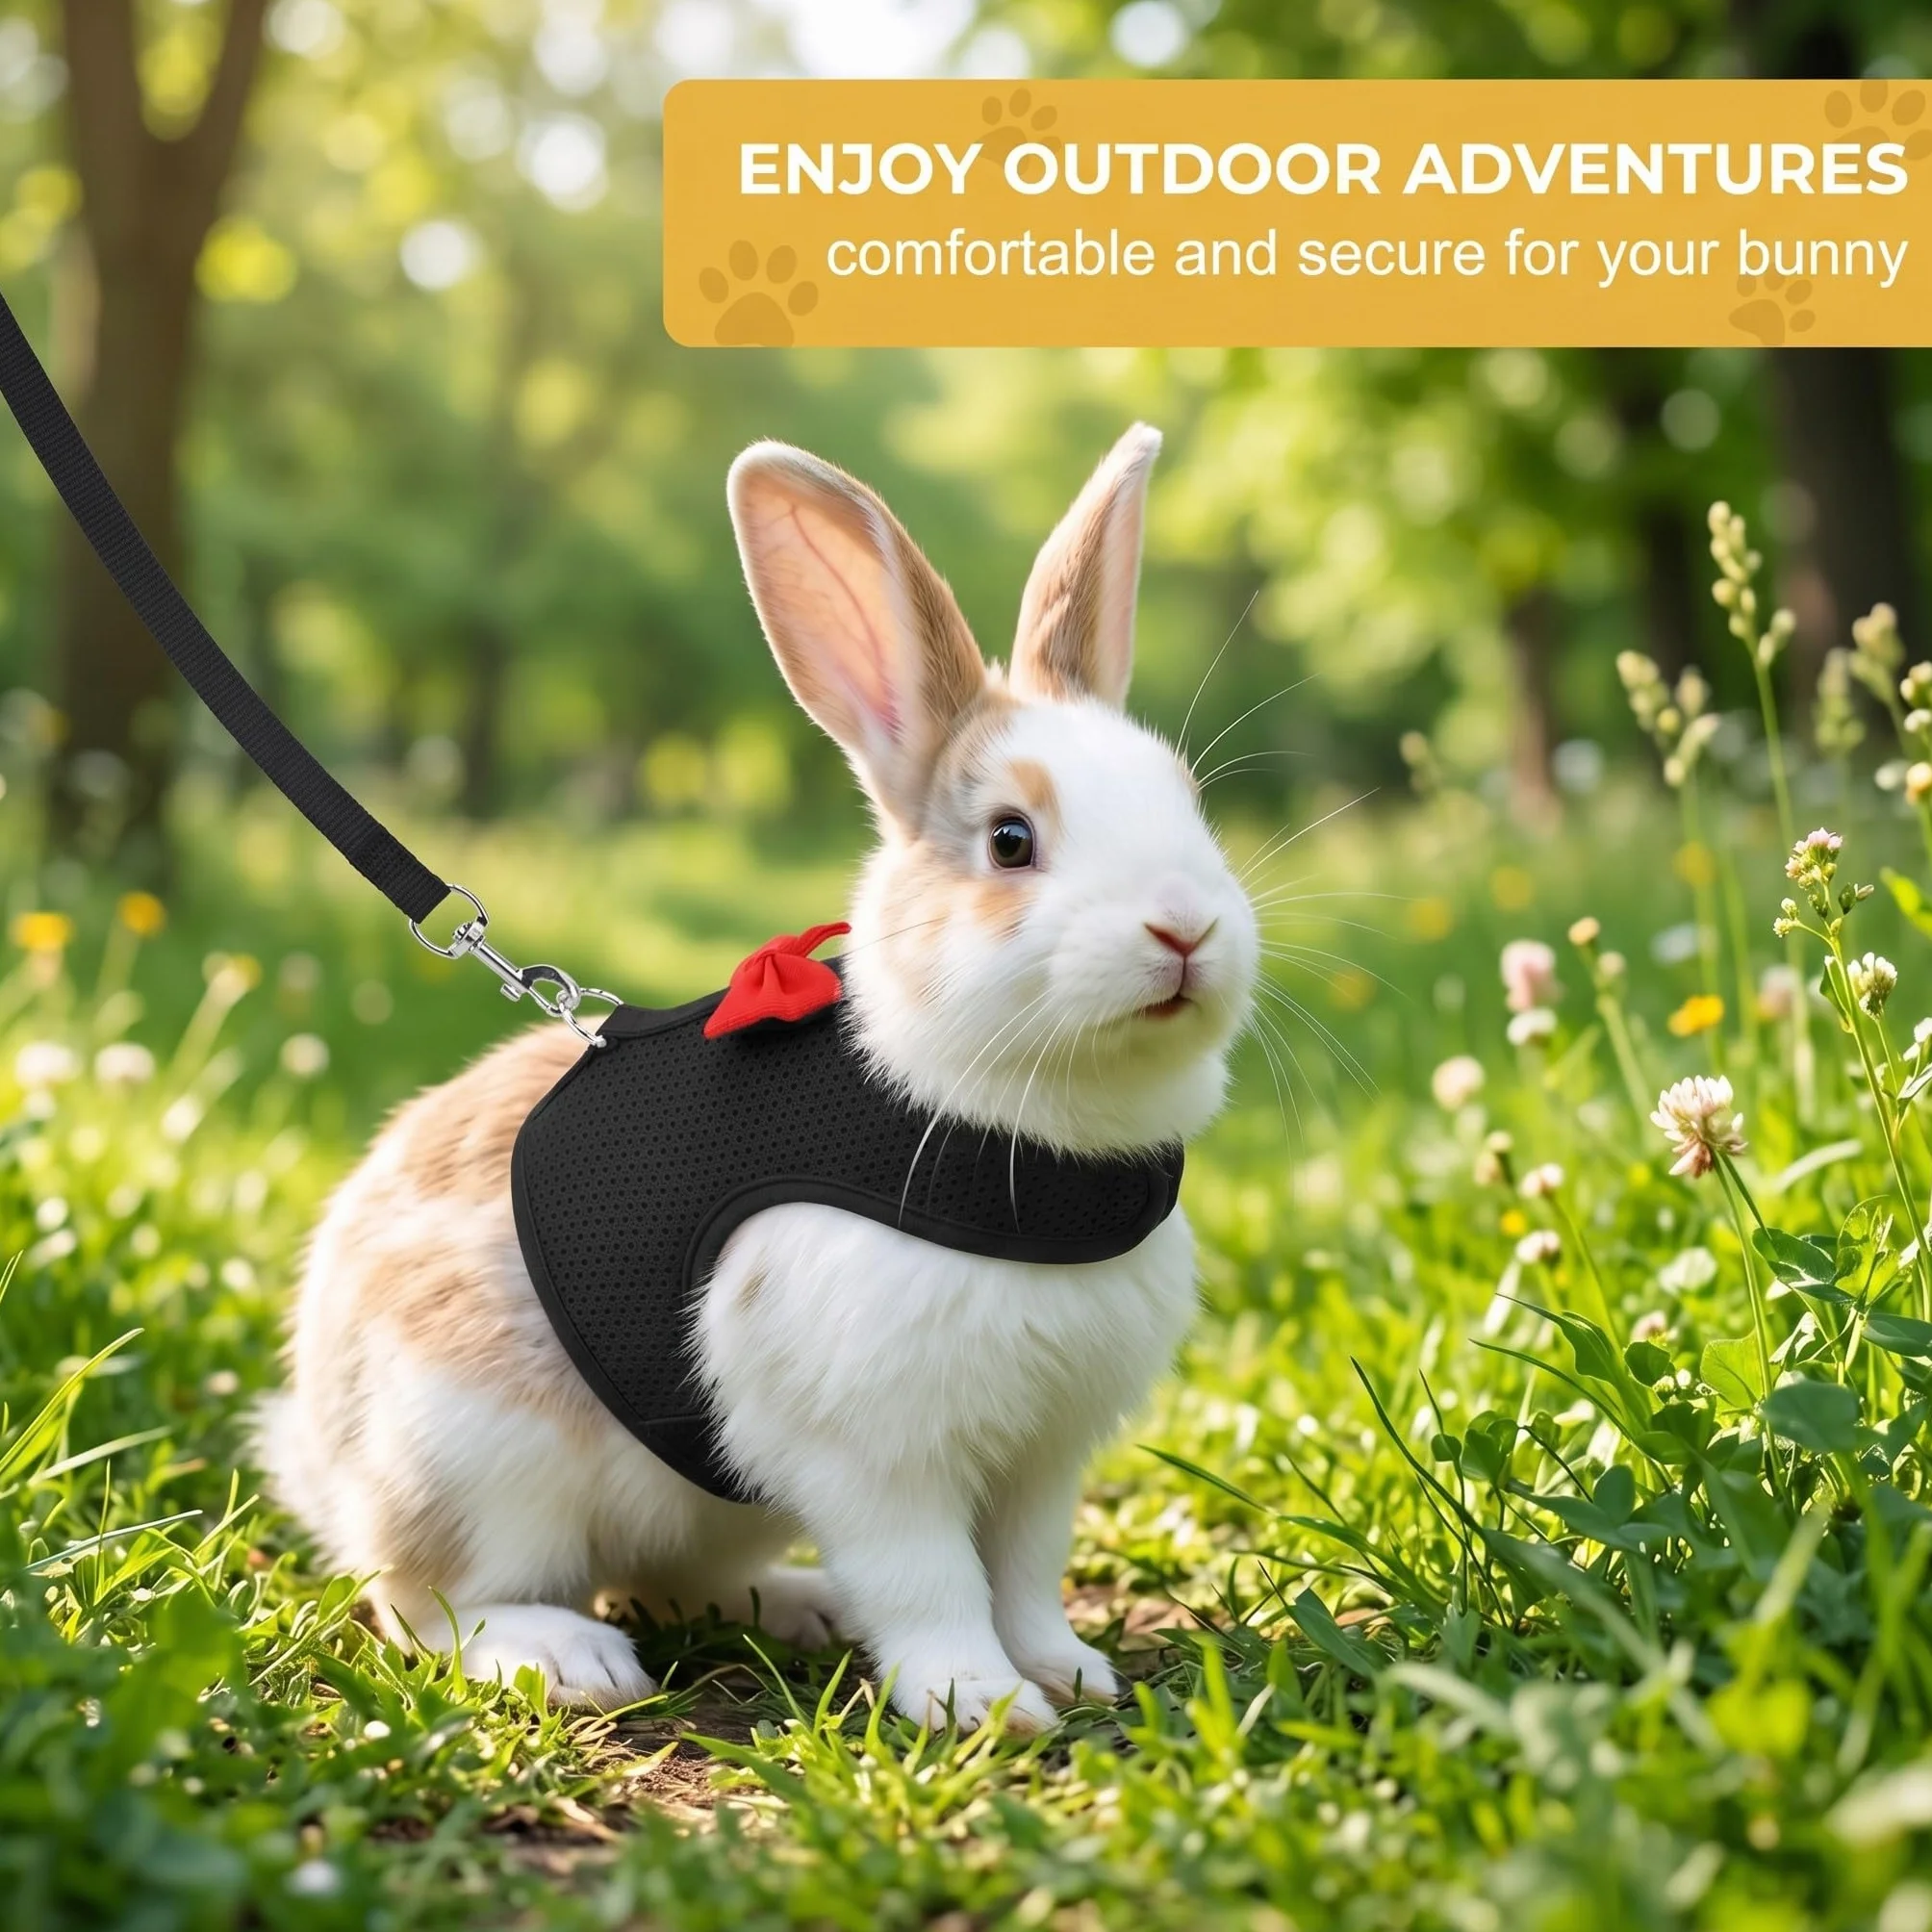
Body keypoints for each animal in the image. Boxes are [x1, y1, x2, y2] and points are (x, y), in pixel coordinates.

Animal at [258, 422, 1260, 1730]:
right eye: (1010, 841)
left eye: (1190, 806)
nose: (1185, 929)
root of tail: (330, 1465)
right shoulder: (871, 1446)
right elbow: (931, 1577)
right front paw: (977, 1702)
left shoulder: (1044, 1454)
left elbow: (1025, 1572)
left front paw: (1067, 1671)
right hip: (481, 1457)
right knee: (429, 1600)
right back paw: (567, 1657)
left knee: (673, 1581)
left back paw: (798, 1608)